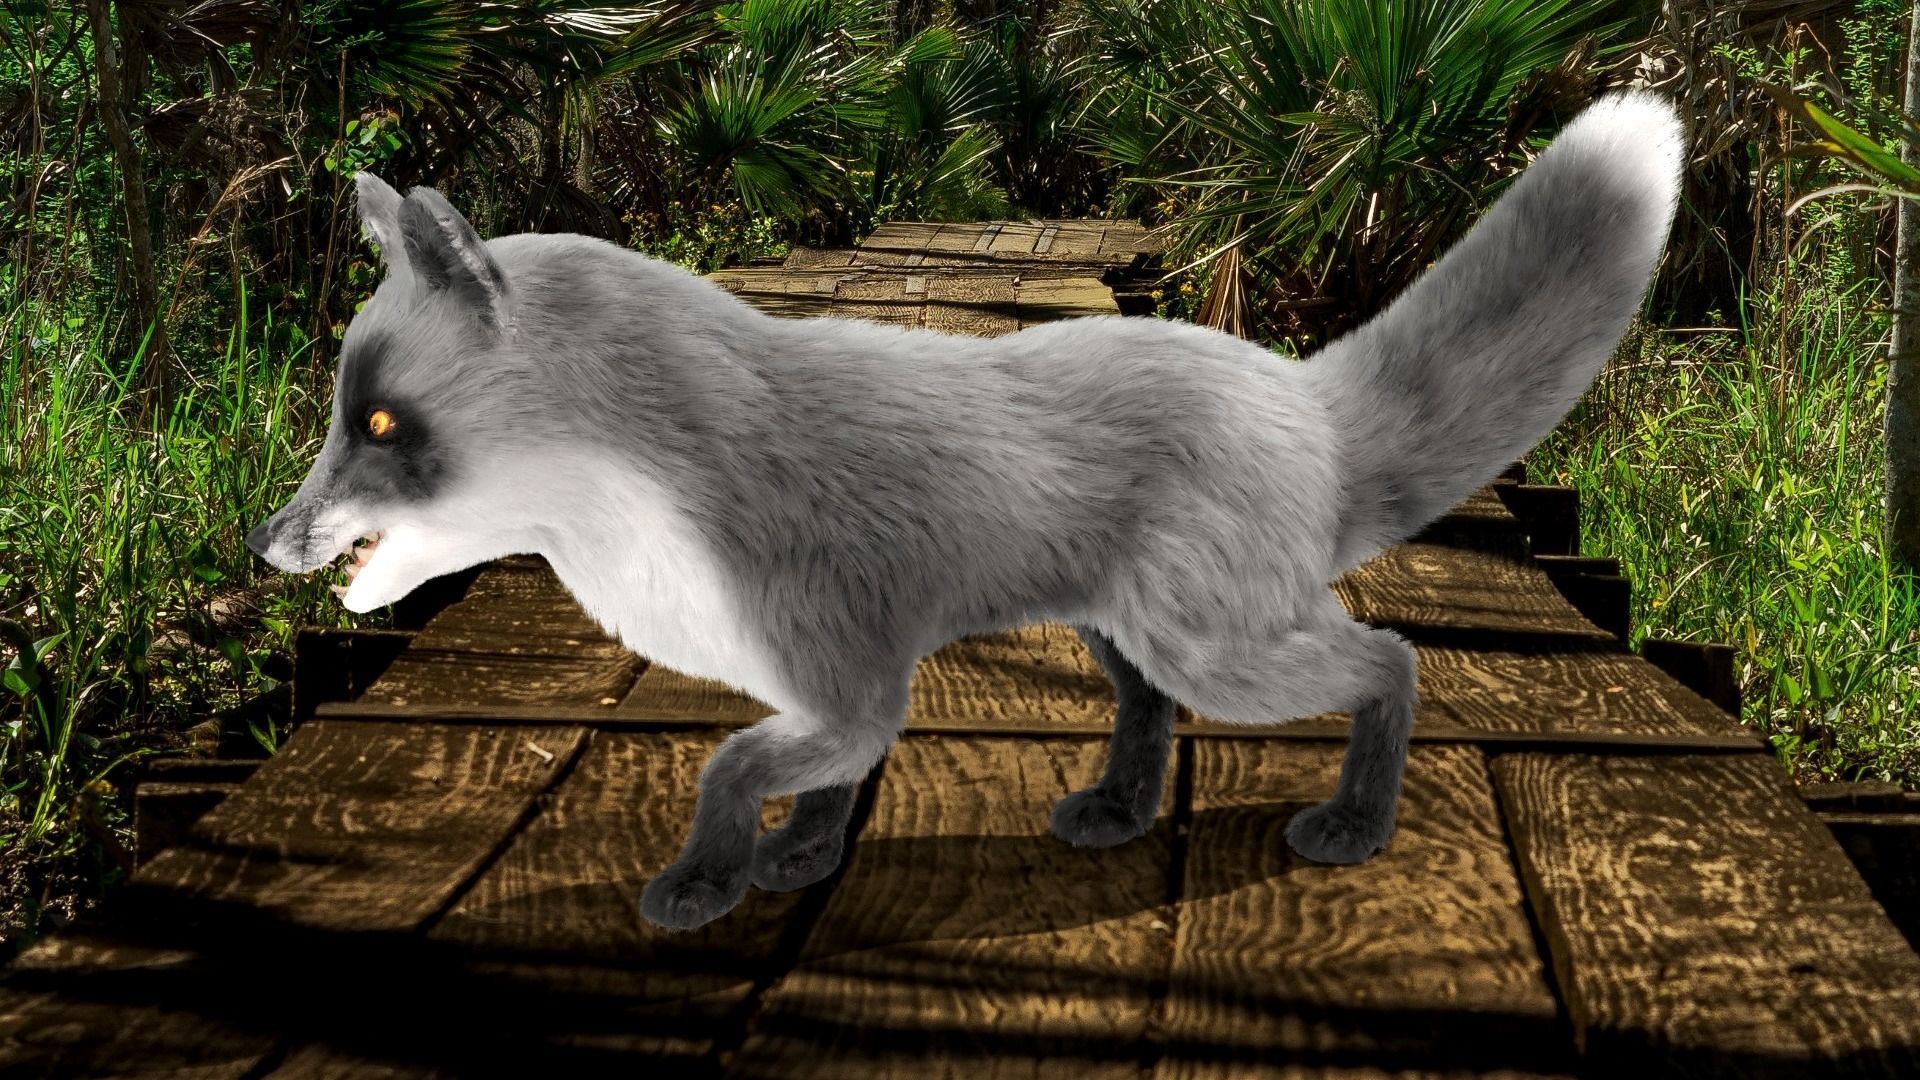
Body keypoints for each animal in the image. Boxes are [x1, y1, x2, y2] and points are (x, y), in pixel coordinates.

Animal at [248, 91, 1683, 931]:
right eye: (342, 416)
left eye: (382, 427)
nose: (261, 543)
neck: (645, 504)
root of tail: (1296, 390)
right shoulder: (846, 695)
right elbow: (816, 795)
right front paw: (797, 865)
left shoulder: (848, 685)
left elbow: (730, 770)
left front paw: (705, 885)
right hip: (1128, 636)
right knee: (1152, 714)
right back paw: (1117, 810)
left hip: (1219, 644)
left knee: (1391, 659)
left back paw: (1354, 828)